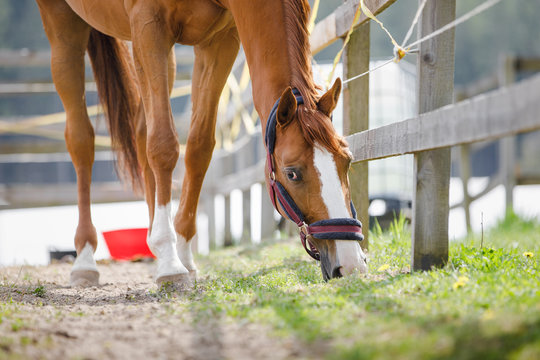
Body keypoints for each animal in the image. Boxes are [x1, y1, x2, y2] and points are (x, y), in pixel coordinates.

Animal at [35, 0, 368, 286]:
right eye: (292, 173)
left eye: (347, 161)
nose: (351, 263)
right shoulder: (149, 25)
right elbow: (164, 145)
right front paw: (170, 263)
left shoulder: (219, 41)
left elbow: (198, 146)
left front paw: (180, 252)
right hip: (65, 28)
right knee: (82, 140)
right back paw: (85, 260)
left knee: (143, 133)